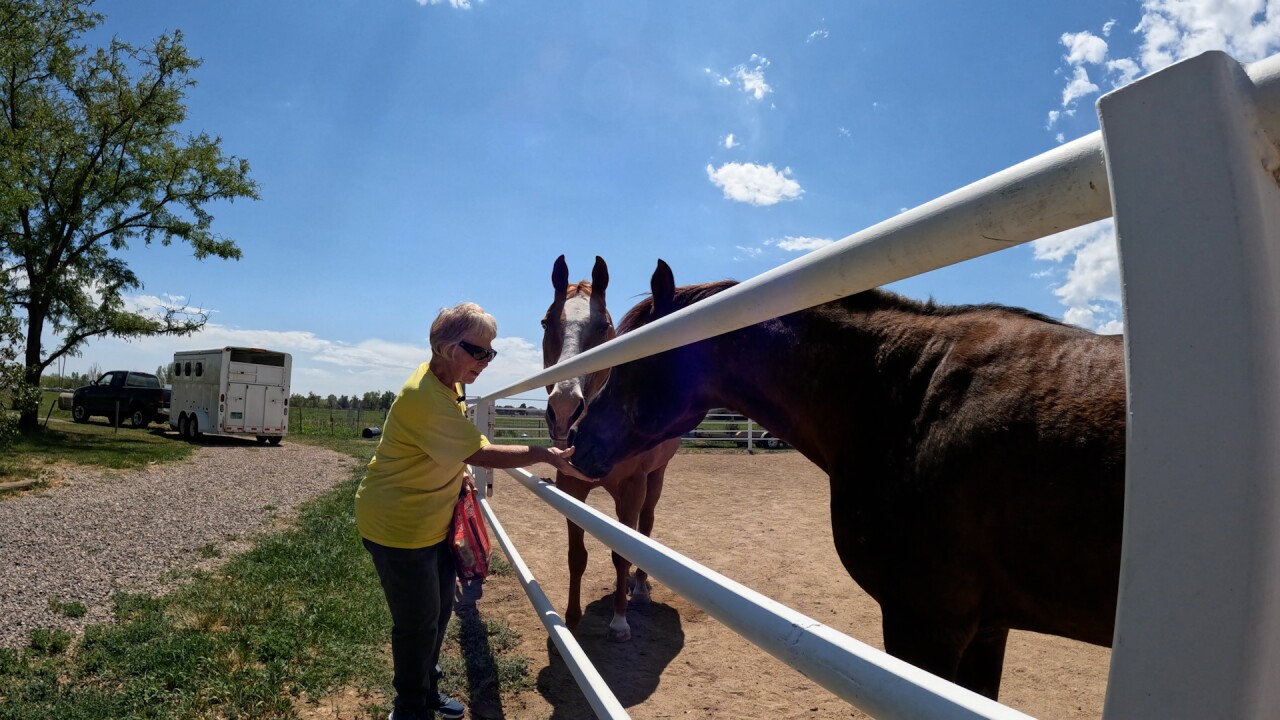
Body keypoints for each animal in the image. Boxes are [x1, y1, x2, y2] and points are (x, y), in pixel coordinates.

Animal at [541, 254, 681, 642]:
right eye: (546, 322)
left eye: (603, 325)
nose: (563, 409)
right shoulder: (570, 486)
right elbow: (577, 555)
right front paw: (571, 621)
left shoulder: (632, 488)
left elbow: (623, 552)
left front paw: (619, 621)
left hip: (657, 477)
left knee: (645, 527)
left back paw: (641, 588)